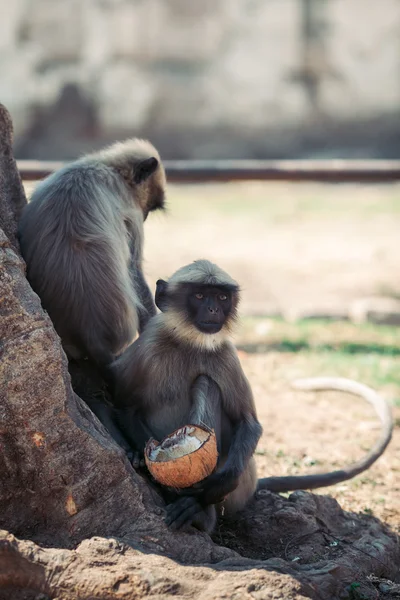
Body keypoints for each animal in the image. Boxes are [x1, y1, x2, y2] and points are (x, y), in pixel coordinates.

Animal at [18, 138, 166, 452]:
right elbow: (134, 270)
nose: (147, 215)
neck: (105, 166)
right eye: (148, 207)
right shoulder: (129, 213)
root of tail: (91, 333)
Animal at [111, 260, 392, 532]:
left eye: (222, 297)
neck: (189, 343)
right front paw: (139, 456)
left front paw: (216, 486)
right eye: (200, 295)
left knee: (206, 383)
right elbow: (123, 405)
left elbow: (249, 422)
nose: (213, 310)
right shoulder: (149, 345)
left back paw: (201, 513)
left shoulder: (226, 355)